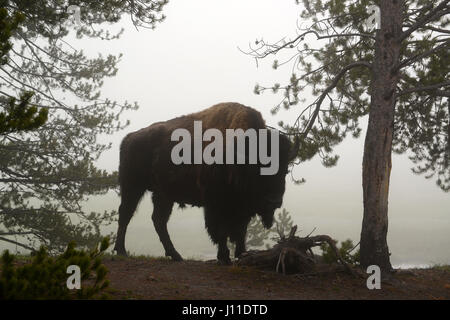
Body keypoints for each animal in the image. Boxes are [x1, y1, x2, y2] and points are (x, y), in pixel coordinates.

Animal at [114, 103, 298, 264]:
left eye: (285, 171)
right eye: (257, 170)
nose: (274, 201)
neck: (238, 155)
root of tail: (129, 138)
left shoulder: (242, 208)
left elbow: (241, 231)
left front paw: (242, 254)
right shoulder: (215, 204)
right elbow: (220, 231)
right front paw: (224, 257)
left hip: (163, 194)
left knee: (158, 220)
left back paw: (175, 255)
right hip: (133, 186)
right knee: (126, 214)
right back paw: (121, 251)